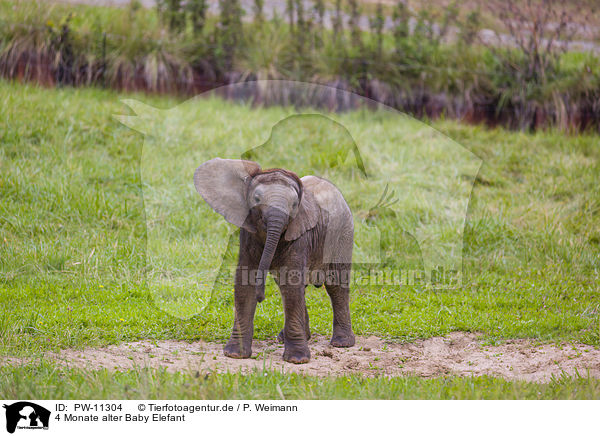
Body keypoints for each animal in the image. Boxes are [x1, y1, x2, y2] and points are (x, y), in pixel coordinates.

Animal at [193, 158, 356, 362]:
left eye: (294, 205)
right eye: (256, 200)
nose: (261, 297)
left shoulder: (299, 235)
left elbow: (291, 285)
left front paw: (297, 360)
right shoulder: (247, 234)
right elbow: (245, 283)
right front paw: (235, 355)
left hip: (342, 234)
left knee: (336, 285)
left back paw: (342, 343)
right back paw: (288, 337)